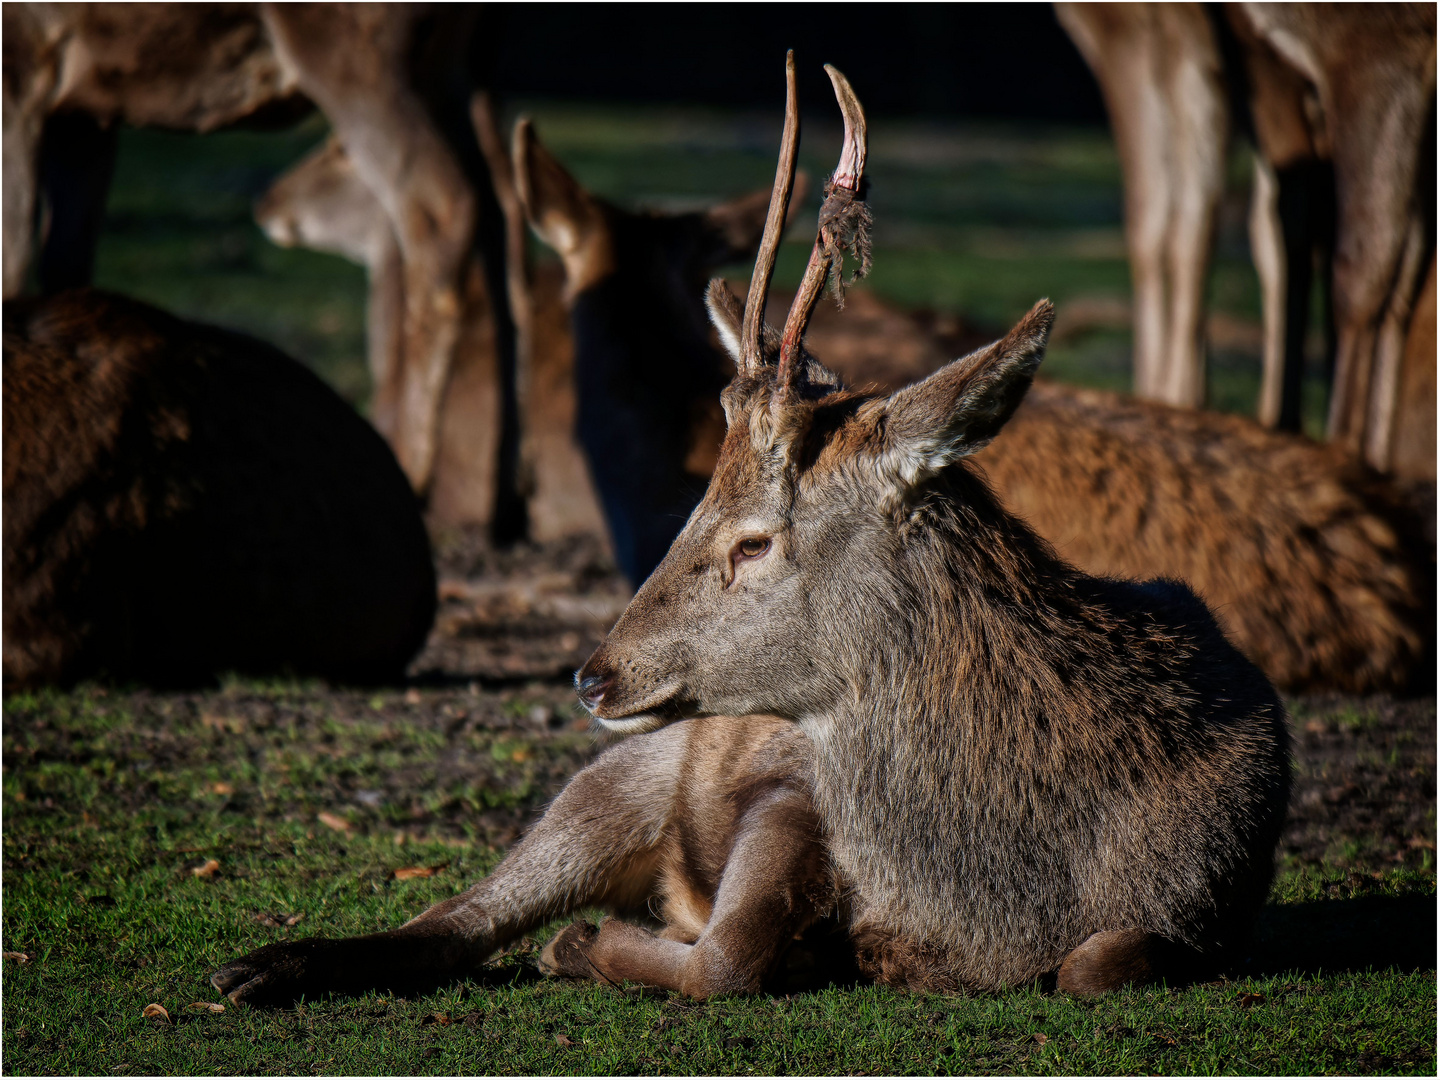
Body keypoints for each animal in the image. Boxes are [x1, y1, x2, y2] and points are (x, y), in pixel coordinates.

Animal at [208, 59, 1290, 1008]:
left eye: (754, 540)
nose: (593, 673)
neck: (1004, 903)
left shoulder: (1212, 908)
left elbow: (1101, 960)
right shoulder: (790, 782)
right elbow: (730, 952)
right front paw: (588, 943)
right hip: (622, 774)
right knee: (458, 918)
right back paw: (260, 967)